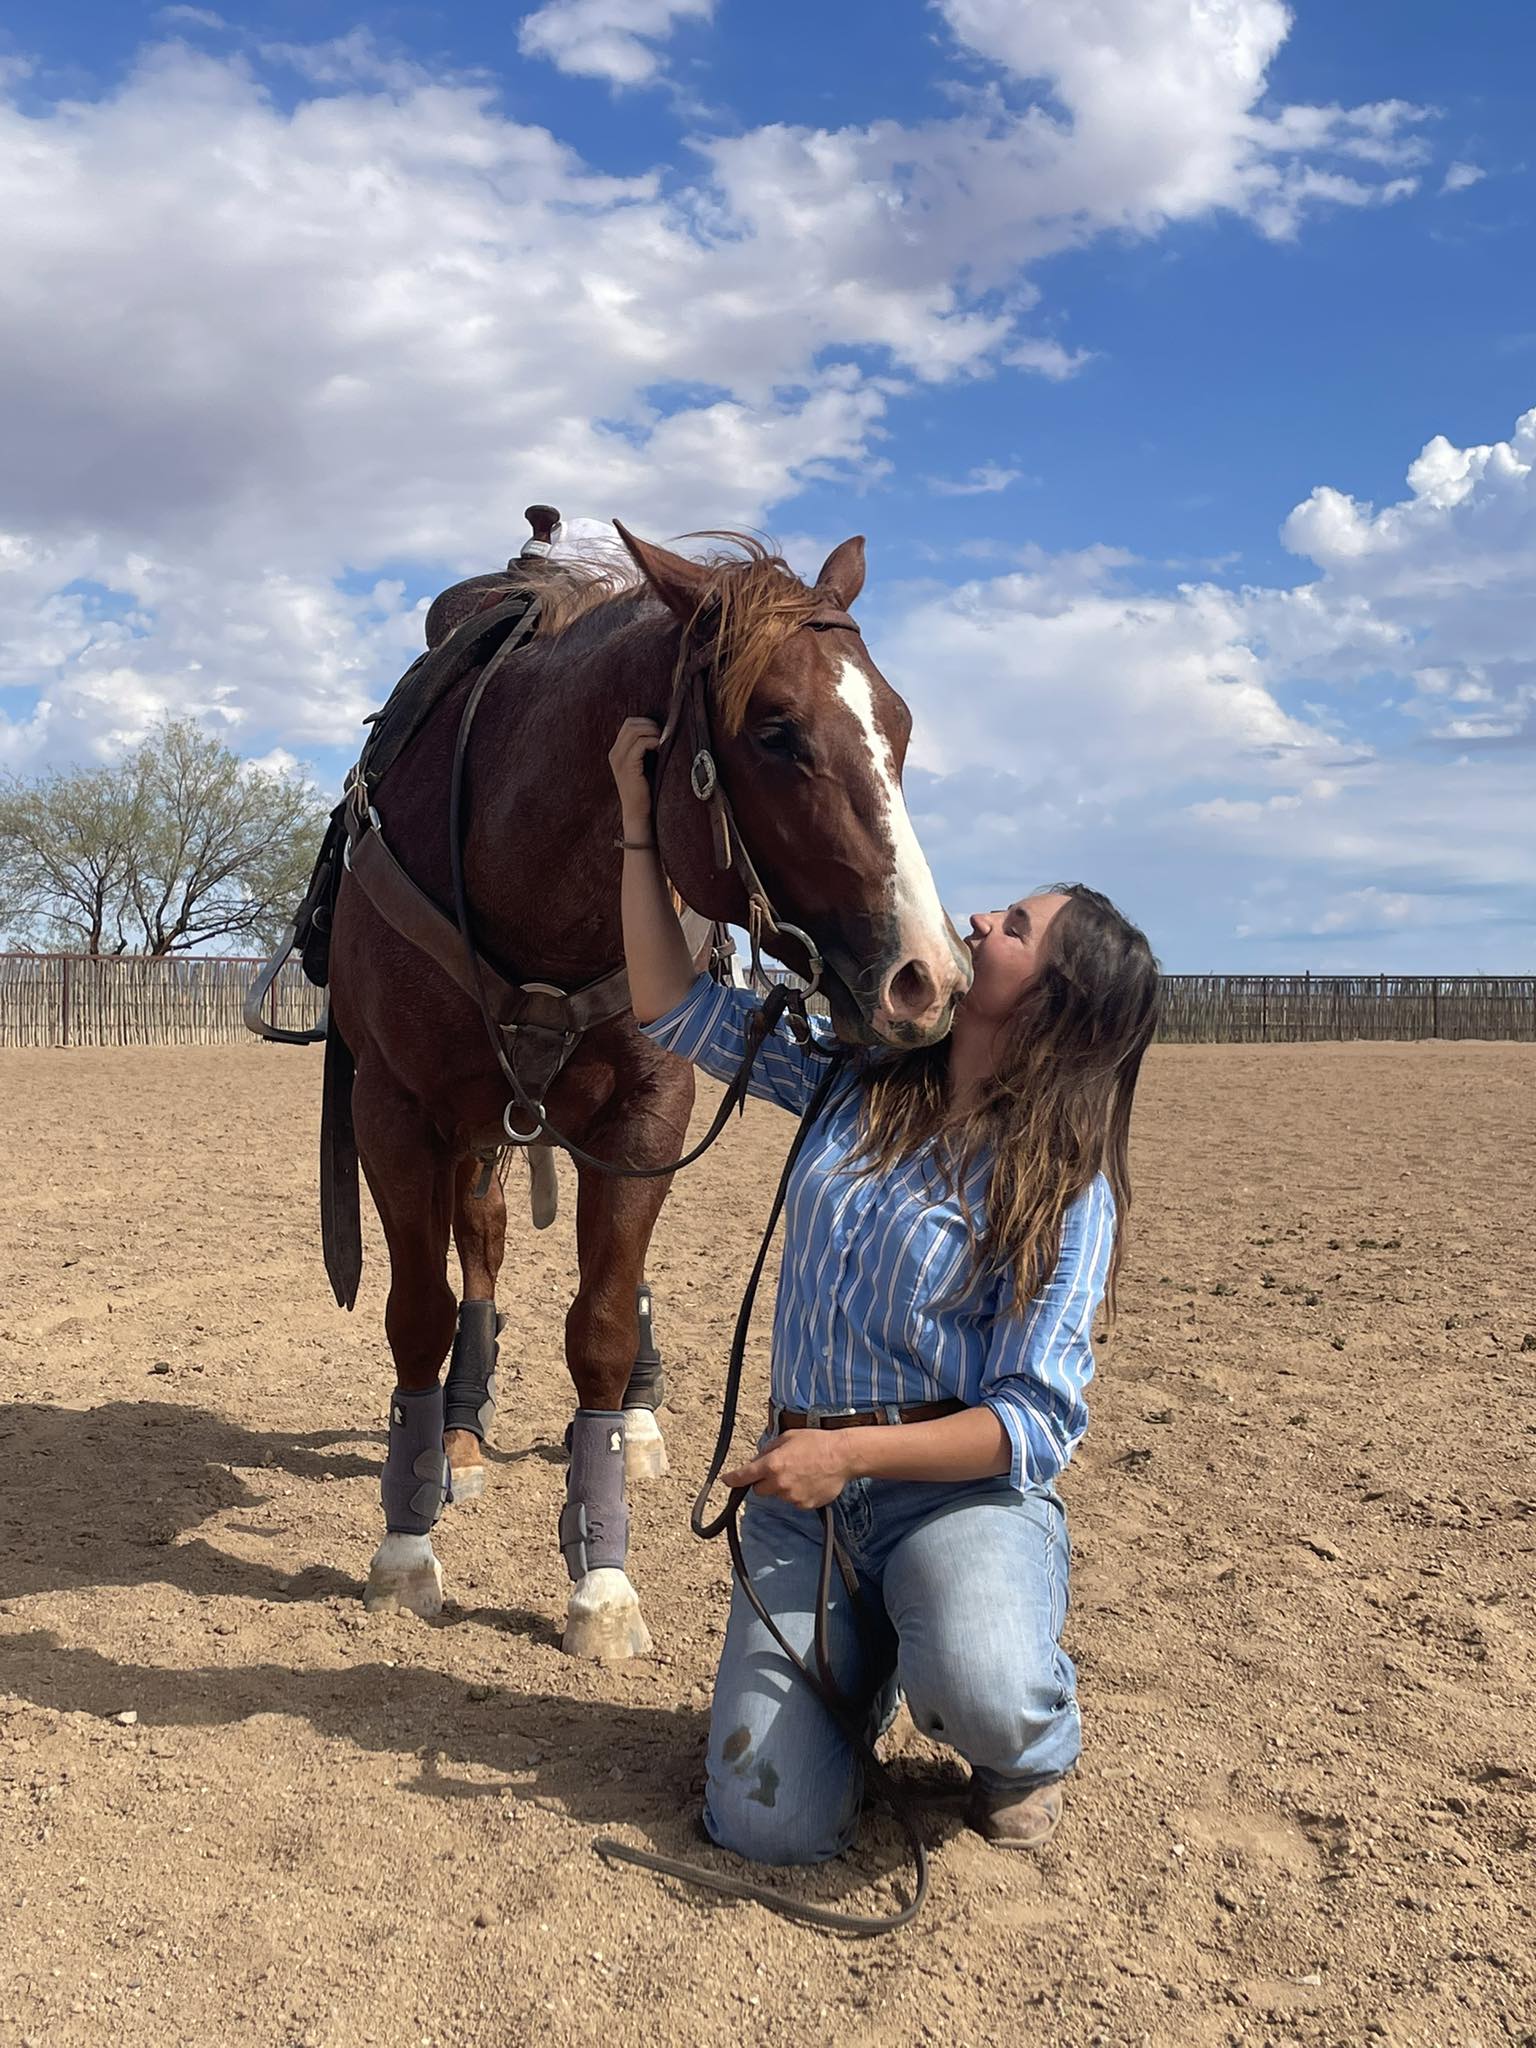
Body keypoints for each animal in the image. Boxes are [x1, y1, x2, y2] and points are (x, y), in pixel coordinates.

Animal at [324, 519, 972, 1659]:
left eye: (897, 724)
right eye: (775, 731)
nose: (925, 977)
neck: (522, 869)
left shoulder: (649, 1116)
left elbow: (602, 1323)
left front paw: (603, 1574)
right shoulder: (394, 1111)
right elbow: (419, 1312)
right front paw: (406, 1541)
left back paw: (634, 1420)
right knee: (480, 1246)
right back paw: (462, 1440)